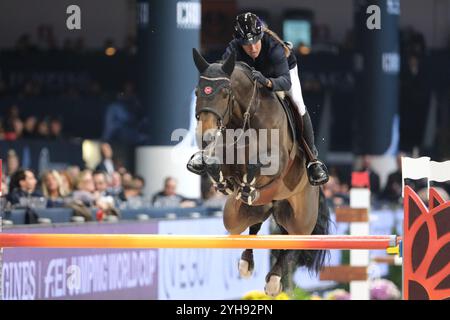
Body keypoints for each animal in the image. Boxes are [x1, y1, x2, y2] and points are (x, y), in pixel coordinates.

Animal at [192, 48, 328, 296]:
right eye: (197, 92)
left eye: (225, 93)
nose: (206, 136)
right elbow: (215, 164)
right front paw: (225, 182)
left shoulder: (278, 162)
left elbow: (258, 164)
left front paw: (246, 182)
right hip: (239, 215)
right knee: (254, 224)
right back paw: (246, 263)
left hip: (301, 219)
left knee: (291, 241)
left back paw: (274, 281)